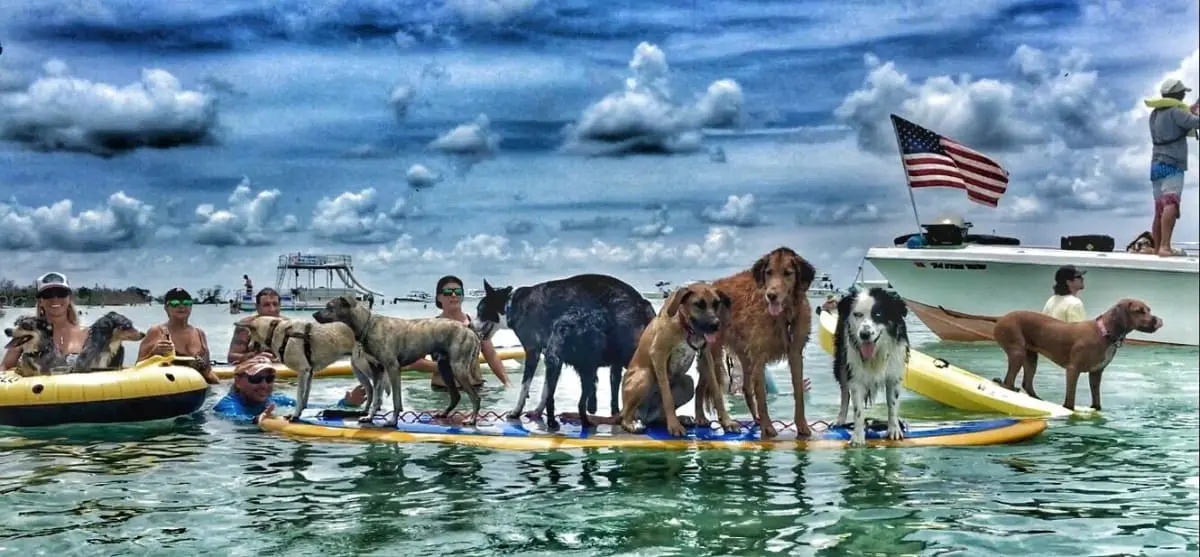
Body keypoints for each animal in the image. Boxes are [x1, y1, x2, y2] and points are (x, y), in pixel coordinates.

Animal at [475, 272, 657, 429]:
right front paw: (538, 412)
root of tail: (641, 301)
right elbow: (546, 390)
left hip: (628, 350)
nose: (471, 325)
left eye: (480, 310)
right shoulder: (551, 355)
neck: (510, 304)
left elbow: (525, 386)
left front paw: (515, 412)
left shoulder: (533, 351)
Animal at [619, 283, 739, 434]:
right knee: (625, 414)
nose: (716, 325)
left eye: (716, 303)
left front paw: (726, 421)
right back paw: (631, 424)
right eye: (698, 304)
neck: (686, 327)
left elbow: (716, 391)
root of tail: (645, 417)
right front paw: (674, 426)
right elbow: (667, 396)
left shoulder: (705, 356)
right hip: (645, 376)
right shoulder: (658, 353)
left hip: (688, 382)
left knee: (659, 416)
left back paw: (681, 419)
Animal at [993, 297, 1161, 410]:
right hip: (1017, 352)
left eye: (1148, 310)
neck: (1104, 333)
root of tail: (1001, 318)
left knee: (1026, 384)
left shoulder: (1096, 373)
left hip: (1031, 357)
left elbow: (1096, 399)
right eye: (1139, 311)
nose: (1158, 320)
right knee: (1009, 382)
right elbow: (1070, 401)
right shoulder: (1073, 370)